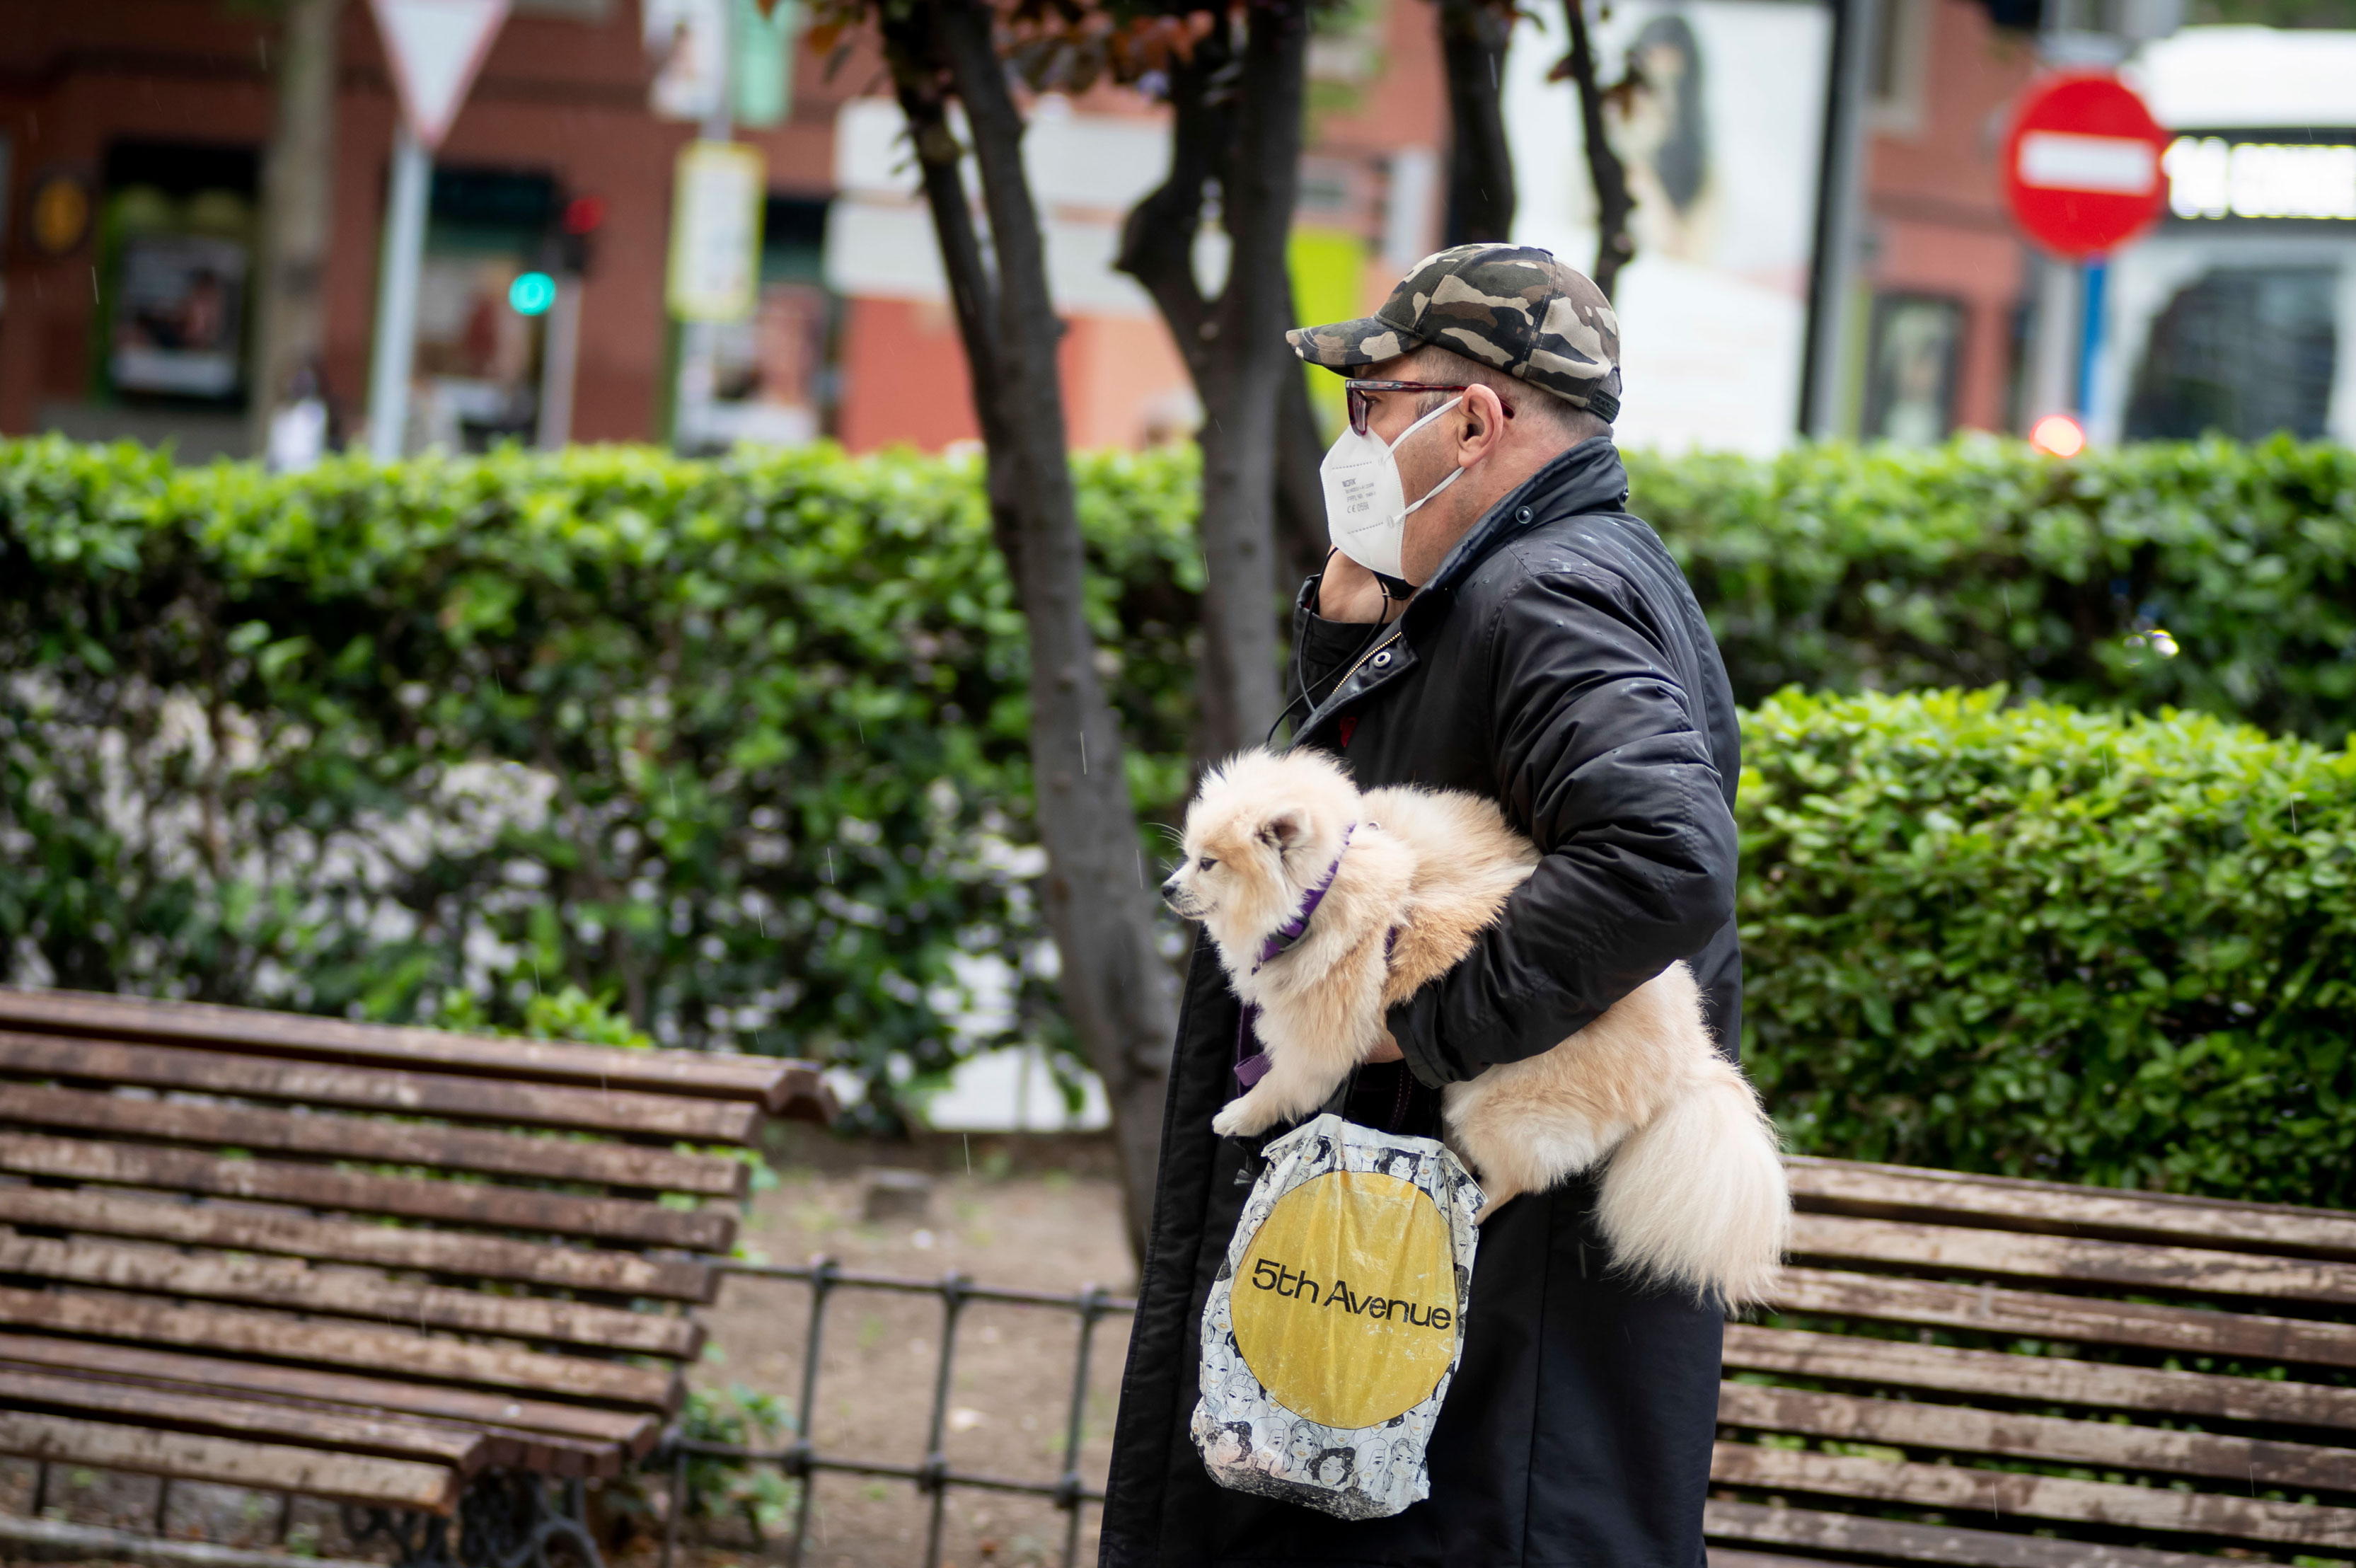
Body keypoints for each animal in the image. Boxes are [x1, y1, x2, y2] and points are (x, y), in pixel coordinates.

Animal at [1159, 745, 1781, 1310]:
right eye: (1187, 857)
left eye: (1209, 863)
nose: (1166, 887)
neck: (1332, 879)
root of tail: (1685, 1064)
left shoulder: (1320, 1033)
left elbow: (1282, 1082)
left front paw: (1237, 1115)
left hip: (1493, 1103)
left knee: (1518, 1180)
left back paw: (1472, 1209)